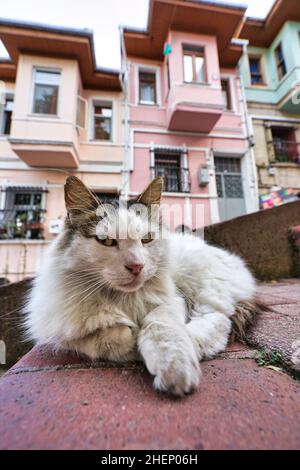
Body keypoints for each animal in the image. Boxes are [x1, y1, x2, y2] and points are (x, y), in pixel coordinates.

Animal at [25, 176, 260, 396]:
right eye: (106, 241)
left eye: (146, 239)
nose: (137, 266)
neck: (123, 299)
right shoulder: (65, 331)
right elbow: (106, 338)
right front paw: (132, 342)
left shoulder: (173, 301)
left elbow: (158, 327)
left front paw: (174, 369)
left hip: (204, 285)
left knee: (218, 320)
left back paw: (191, 342)